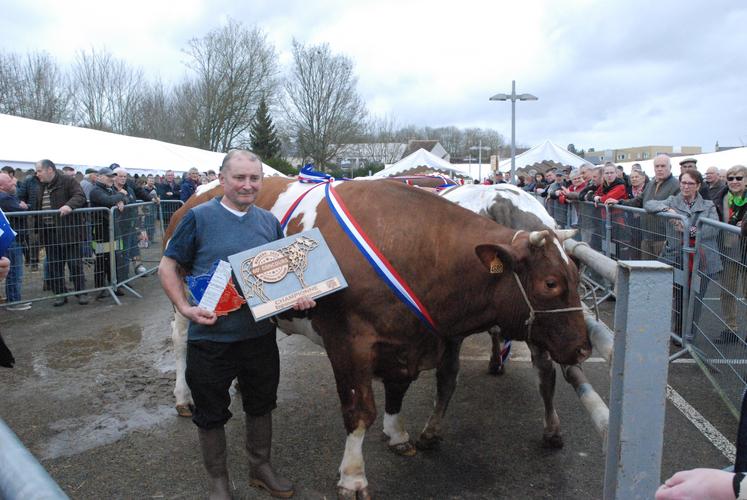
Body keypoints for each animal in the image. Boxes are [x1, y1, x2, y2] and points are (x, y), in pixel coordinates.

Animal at [165, 176, 592, 496]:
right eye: (551, 283)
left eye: (577, 273)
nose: (584, 348)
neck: (411, 248)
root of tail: (199, 194)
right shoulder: (348, 345)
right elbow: (359, 412)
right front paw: (353, 477)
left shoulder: (405, 339)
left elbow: (397, 392)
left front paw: (398, 434)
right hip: (188, 297)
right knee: (182, 343)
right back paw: (184, 397)